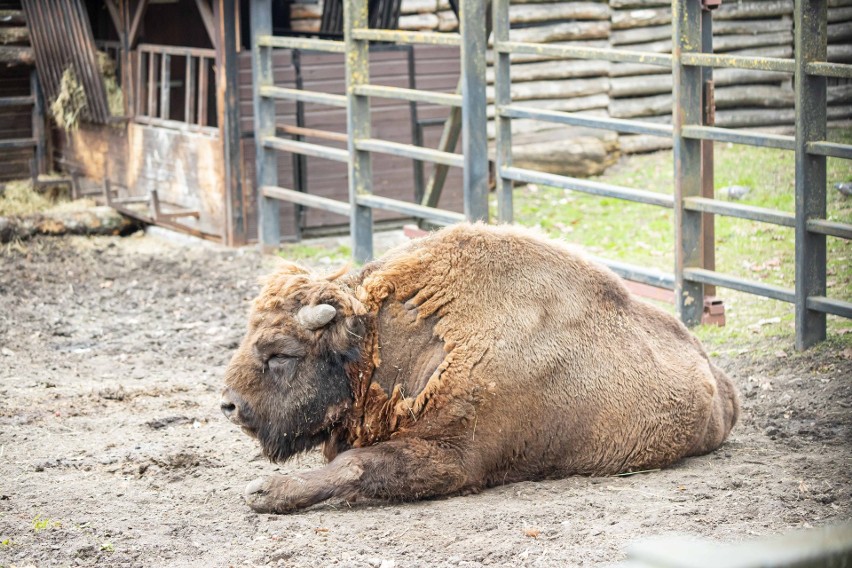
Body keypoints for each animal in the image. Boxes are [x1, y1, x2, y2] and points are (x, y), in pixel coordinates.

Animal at [220, 223, 740, 516]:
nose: (229, 405)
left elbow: (356, 466)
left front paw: (265, 492)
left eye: (280, 354)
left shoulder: (454, 458)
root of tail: (722, 383)